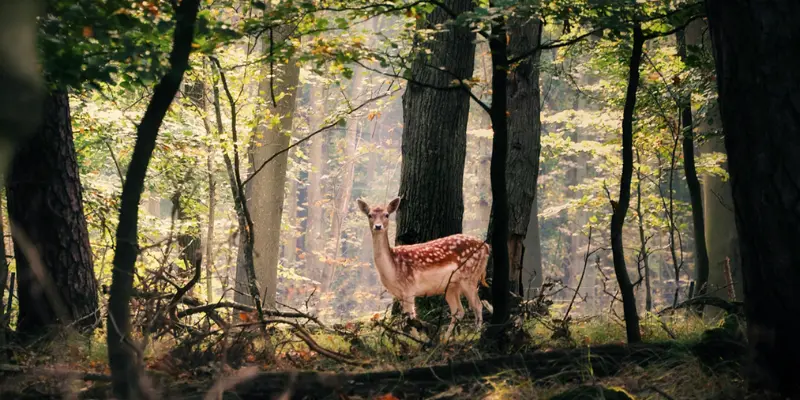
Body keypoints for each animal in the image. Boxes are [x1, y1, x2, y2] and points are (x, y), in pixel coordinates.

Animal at [357, 197, 491, 339]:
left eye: (386, 215)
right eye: (369, 215)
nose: (378, 226)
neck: (392, 269)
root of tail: (487, 247)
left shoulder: (409, 288)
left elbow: (411, 318)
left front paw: (415, 340)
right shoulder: (399, 294)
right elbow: (405, 320)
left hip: (470, 276)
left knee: (478, 305)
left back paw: (475, 334)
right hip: (452, 286)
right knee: (459, 311)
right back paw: (445, 339)